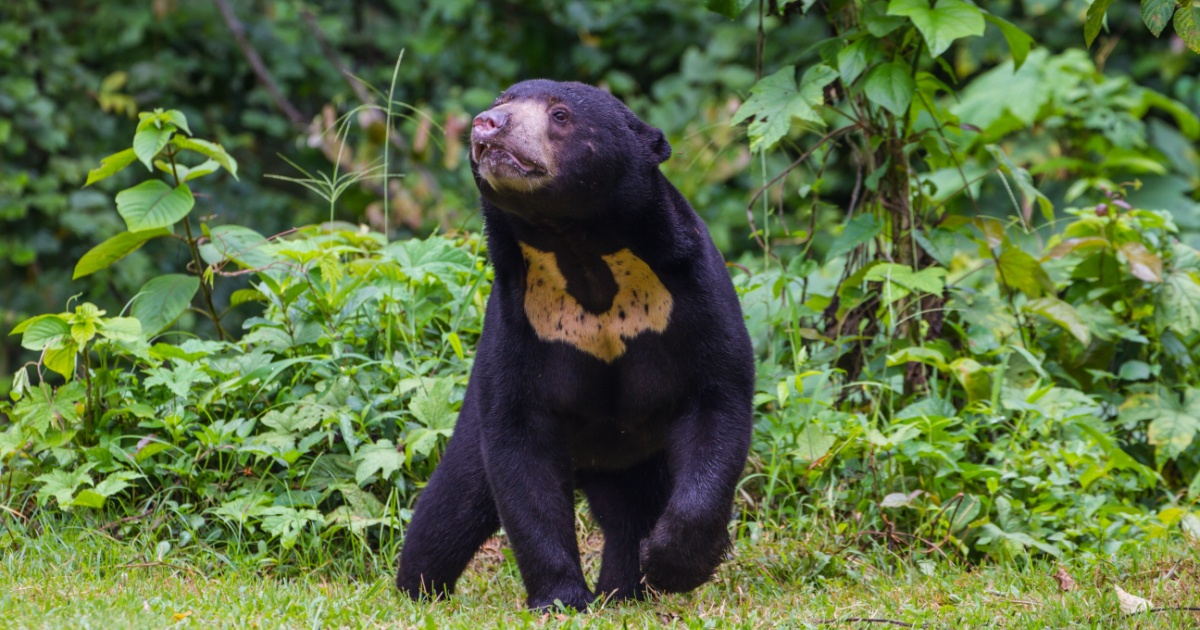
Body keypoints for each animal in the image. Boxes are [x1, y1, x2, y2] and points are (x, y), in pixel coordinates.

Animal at [396, 80, 754, 611]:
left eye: (560, 115)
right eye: (501, 102)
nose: (487, 124)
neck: (579, 249)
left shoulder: (694, 294)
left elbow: (717, 403)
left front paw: (673, 565)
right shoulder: (518, 322)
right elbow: (521, 450)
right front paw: (561, 598)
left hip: (632, 459)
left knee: (629, 514)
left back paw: (625, 590)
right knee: (450, 505)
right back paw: (418, 589)